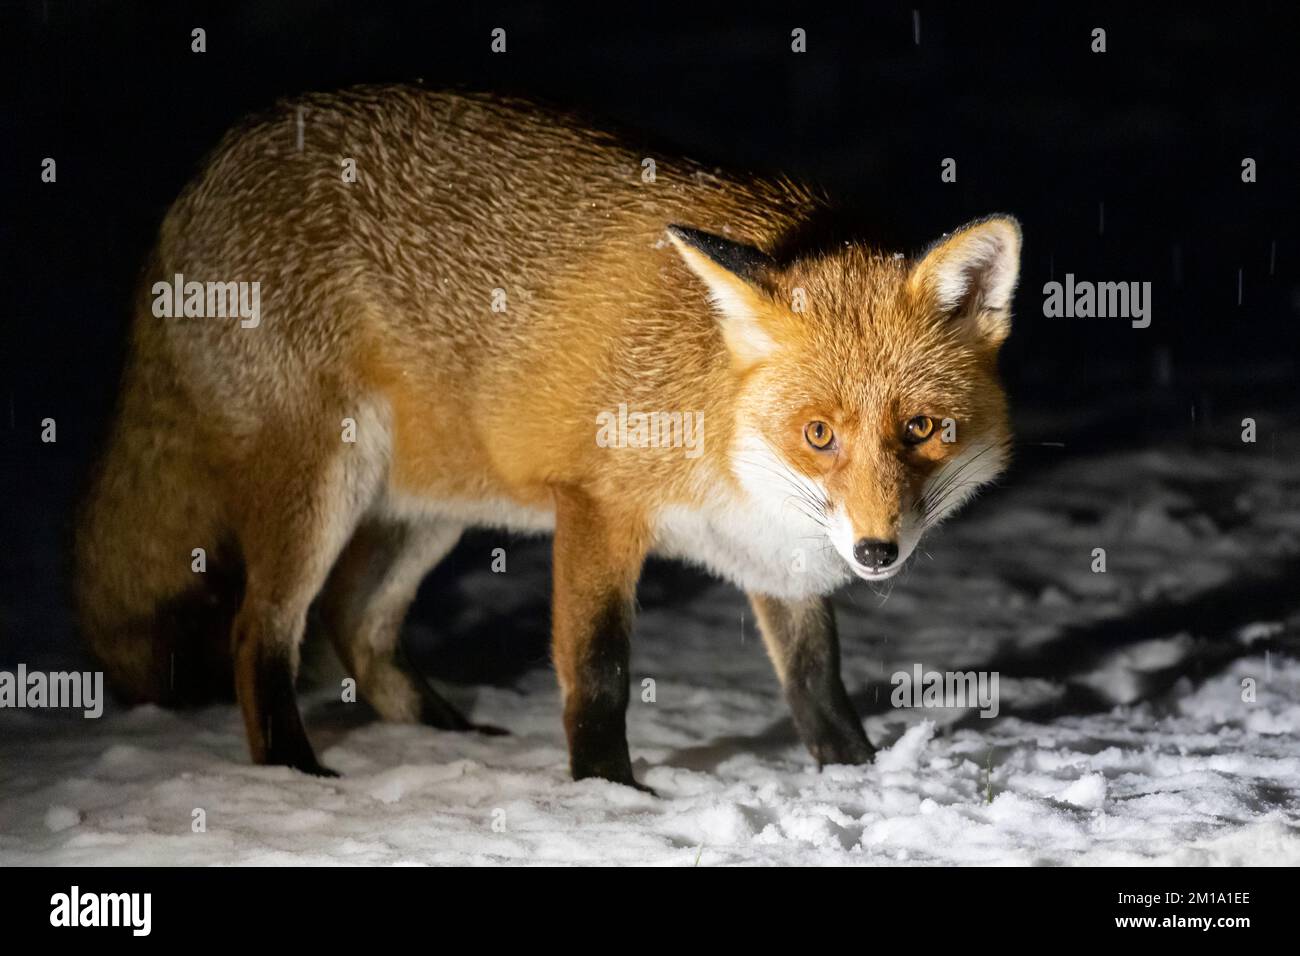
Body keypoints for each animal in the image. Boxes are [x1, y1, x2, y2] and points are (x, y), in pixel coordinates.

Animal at [76, 85, 1019, 790]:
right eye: (818, 433)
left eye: (922, 429)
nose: (874, 552)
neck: (708, 402)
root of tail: (209, 168)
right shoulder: (597, 504)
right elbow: (599, 671)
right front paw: (607, 794)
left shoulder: (775, 551)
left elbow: (816, 683)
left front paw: (857, 776)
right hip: (323, 486)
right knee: (261, 629)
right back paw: (293, 770)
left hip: (432, 505)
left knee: (355, 624)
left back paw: (446, 737)